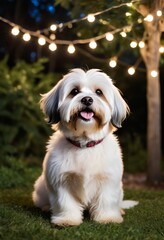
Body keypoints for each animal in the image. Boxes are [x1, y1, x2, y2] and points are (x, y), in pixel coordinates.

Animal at [32, 68, 138, 226]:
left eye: (99, 92)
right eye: (74, 91)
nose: (87, 99)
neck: (85, 145)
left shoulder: (108, 180)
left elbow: (106, 200)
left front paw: (107, 217)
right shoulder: (61, 180)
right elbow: (65, 202)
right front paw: (67, 219)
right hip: (41, 186)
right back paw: (46, 207)